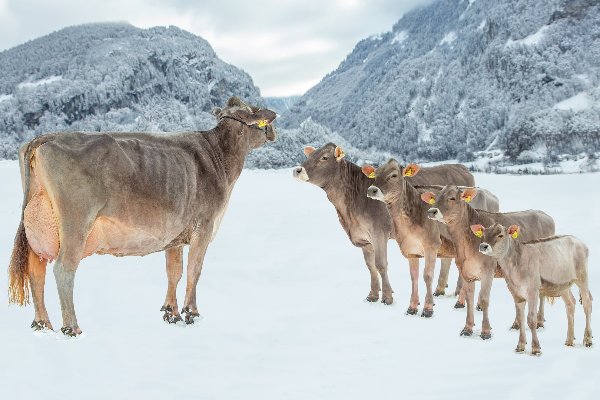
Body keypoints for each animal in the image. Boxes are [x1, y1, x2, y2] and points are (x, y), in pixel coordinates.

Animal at [8, 98, 278, 336]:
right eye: (257, 114)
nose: (274, 130)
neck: (219, 155)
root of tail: (48, 136)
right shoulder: (205, 227)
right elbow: (194, 270)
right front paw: (192, 313)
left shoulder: (176, 235)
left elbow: (174, 271)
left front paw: (171, 313)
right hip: (76, 223)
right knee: (64, 269)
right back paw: (71, 328)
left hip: (37, 225)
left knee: (35, 271)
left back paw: (42, 324)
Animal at [360, 158, 496, 318]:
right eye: (375, 174)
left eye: (393, 175)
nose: (372, 190)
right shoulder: (410, 249)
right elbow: (414, 276)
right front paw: (412, 307)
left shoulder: (432, 245)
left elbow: (428, 275)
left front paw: (428, 308)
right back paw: (461, 302)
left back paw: (474, 304)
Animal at [424, 184, 556, 338]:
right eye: (435, 197)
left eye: (452, 198)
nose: (432, 211)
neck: (465, 242)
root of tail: (544, 214)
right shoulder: (466, 271)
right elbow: (469, 299)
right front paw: (467, 328)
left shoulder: (488, 271)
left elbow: (484, 300)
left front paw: (486, 332)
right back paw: (517, 324)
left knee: (541, 294)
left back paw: (539, 322)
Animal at [478, 225, 592, 354]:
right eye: (484, 234)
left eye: (500, 235)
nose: (483, 246)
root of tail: (578, 240)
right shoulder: (516, 293)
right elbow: (521, 318)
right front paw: (520, 346)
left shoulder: (533, 290)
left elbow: (531, 319)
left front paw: (536, 348)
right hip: (563, 285)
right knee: (570, 304)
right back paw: (569, 340)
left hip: (582, 276)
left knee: (587, 303)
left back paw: (588, 340)